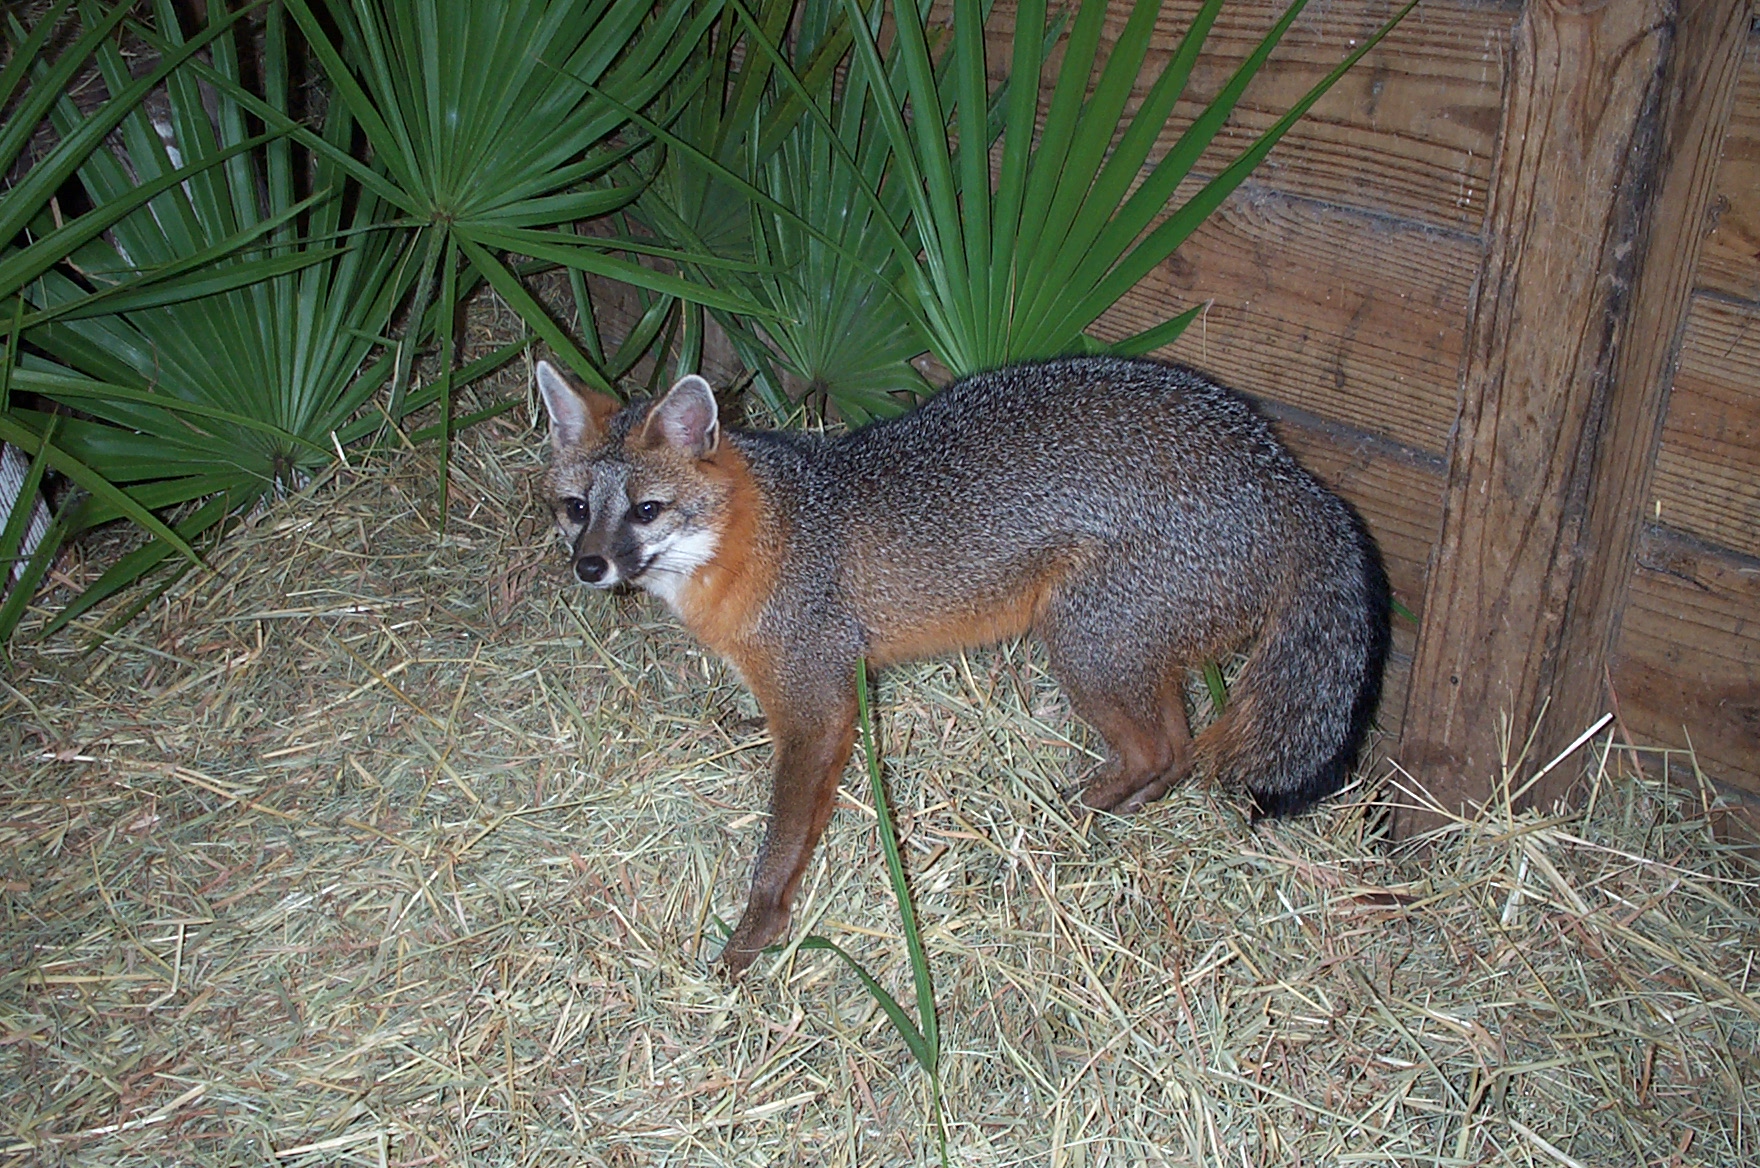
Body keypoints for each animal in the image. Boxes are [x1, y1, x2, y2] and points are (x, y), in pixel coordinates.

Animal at [536, 355, 1390, 977]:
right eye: (576, 508)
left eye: (646, 510)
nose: (589, 566)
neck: (768, 528)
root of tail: (1289, 478)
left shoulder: (817, 706)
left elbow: (781, 842)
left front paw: (754, 934)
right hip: (1125, 657)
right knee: (1176, 750)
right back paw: (1102, 814)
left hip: (1081, 645)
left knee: (1163, 750)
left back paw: (1067, 822)